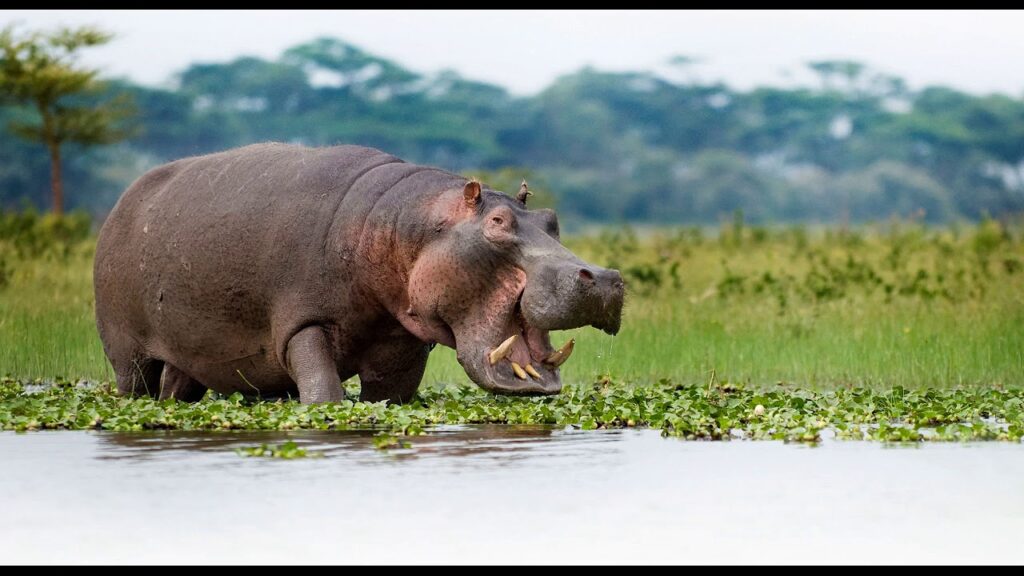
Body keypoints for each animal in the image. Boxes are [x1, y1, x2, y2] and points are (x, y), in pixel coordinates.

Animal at [93, 143, 624, 404]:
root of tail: (121, 200)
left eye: (551, 219)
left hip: (191, 356)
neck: (404, 225)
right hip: (126, 351)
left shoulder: (400, 340)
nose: (605, 277)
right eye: (497, 223)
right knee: (134, 387)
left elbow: (388, 398)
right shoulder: (301, 323)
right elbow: (324, 395)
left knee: (178, 389)